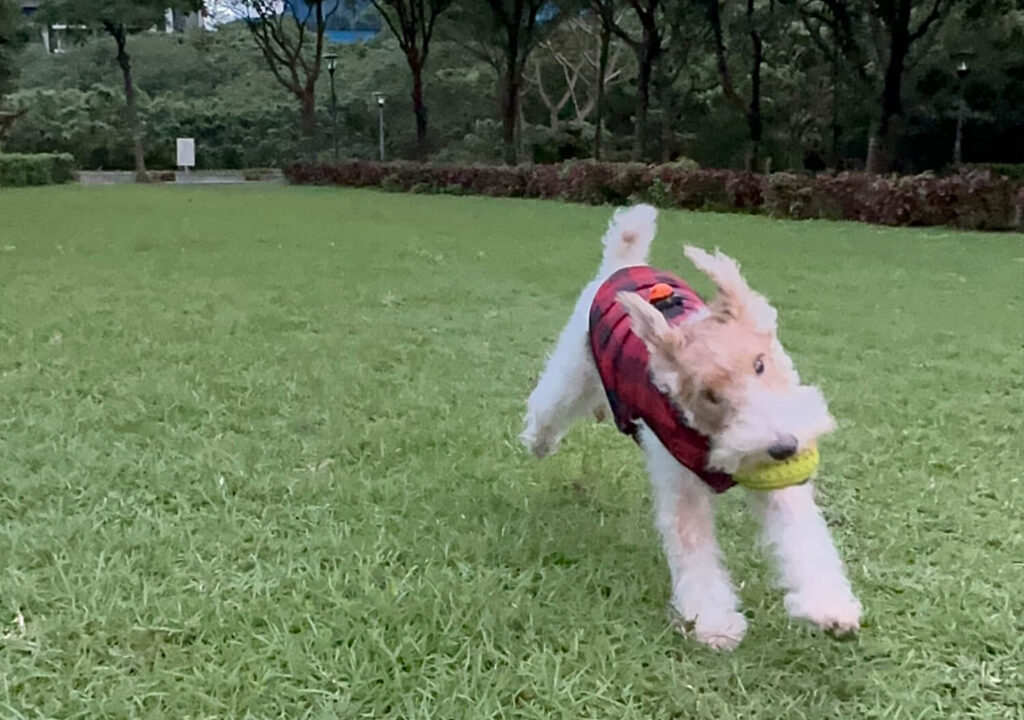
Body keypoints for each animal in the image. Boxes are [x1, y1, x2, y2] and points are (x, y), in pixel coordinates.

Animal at [520, 205, 864, 651]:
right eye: (710, 395)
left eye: (759, 363)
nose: (785, 447)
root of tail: (623, 262)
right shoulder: (681, 485)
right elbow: (695, 553)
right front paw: (715, 624)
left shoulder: (777, 484)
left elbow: (802, 538)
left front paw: (830, 608)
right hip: (573, 363)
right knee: (549, 404)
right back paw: (539, 442)